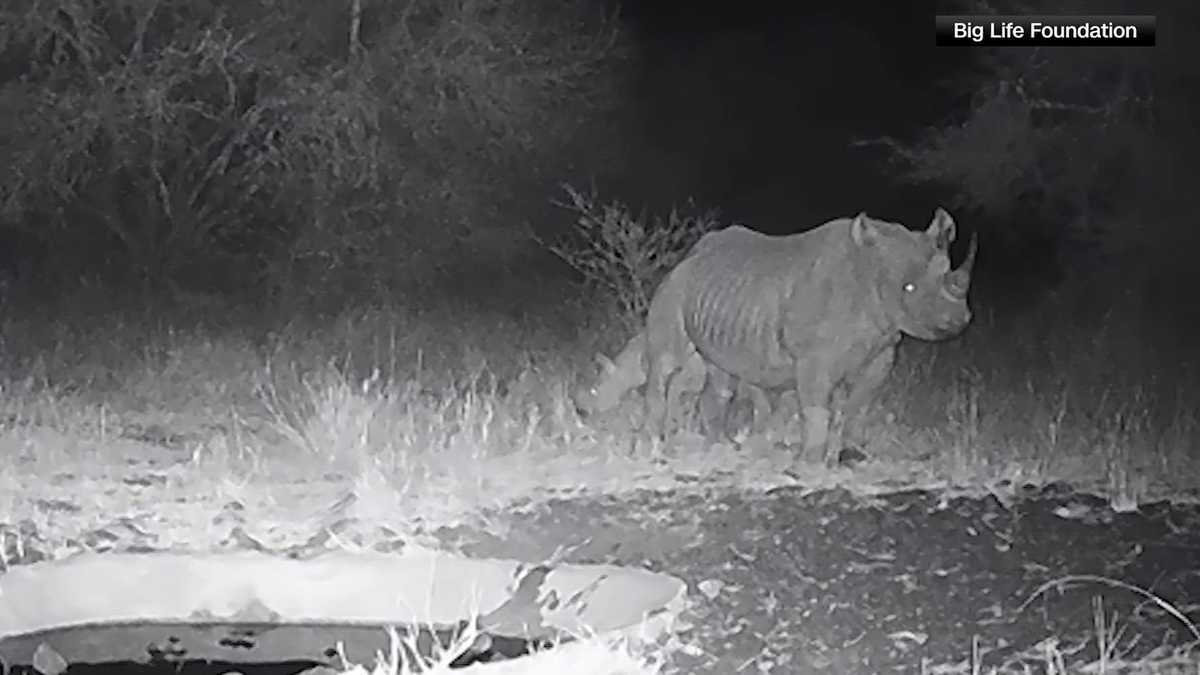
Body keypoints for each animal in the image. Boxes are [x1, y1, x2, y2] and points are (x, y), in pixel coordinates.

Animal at [641, 208, 976, 466]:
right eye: (908, 288)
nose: (957, 321)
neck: (869, 271)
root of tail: (689, 256)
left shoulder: (882, 351)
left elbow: (859, 406)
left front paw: (851, 455)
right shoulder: (815, 357)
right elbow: (817, 409)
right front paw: (810, 462)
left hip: (722, 295)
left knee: (721, 373)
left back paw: (722, 446)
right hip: (674, 286)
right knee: (666, 363)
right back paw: (657, 447)